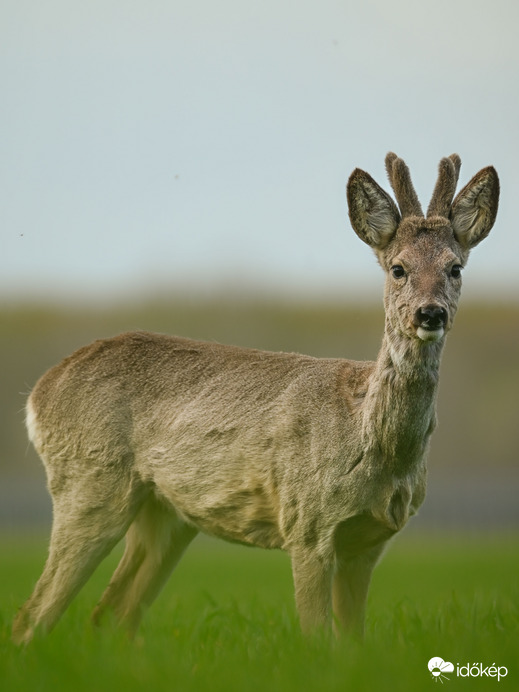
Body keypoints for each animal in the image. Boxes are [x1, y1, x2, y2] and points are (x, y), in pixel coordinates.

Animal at [12, 153, 500, 644]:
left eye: (455, 268)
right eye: (398, 268)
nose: (430, 313)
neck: (369, 440)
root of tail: (38, 396)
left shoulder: (370, 542)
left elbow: (352, 644)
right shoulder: (307, 524)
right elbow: (316, 638)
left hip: (164, 513)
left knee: (109, 614)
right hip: (89, 481)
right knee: (33, 614)